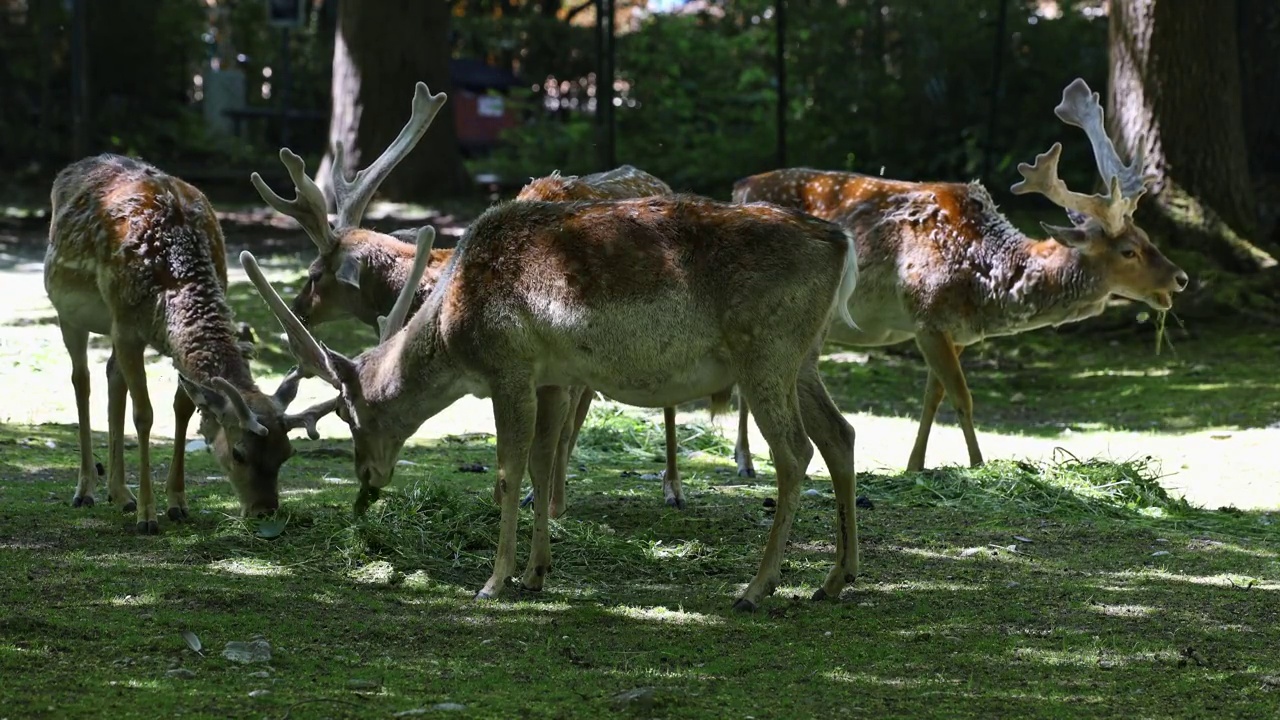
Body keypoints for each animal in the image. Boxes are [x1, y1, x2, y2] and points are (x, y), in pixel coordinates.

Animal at [44, 152, 325, 532]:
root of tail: (73, 168)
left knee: (112, 375)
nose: (265, 510)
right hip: (69, 310)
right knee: (81, 379)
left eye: (287, 453)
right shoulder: (126, 325)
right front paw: (148, 516)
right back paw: (86, 490)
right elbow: (144, 414)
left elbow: (184, 407)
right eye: (238, 453)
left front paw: (177, 503)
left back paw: (120, 494)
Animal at [240, 102, 860, 604]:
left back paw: (757, 588)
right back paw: (835, 579)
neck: (454, 324)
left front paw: (494, 580)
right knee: (840, 433)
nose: (367, 481)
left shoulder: (508, 365)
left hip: (766, 350)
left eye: (350, 413)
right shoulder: (555, 376)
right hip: (803, 356)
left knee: (795, 452)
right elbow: (542, 462)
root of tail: (842, 244)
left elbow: (508, 468)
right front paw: (537, 573)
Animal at [732, 78, 1187, 474]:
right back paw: (745, 461)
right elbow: (963, 398)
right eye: (1128, 251)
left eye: (1147, 237)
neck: (986, 287)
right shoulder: (926, 316)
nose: (1180, 279)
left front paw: (915, 465)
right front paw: (977, 464)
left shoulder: (958, 332)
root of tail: (739, 185)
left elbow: (933, 398)